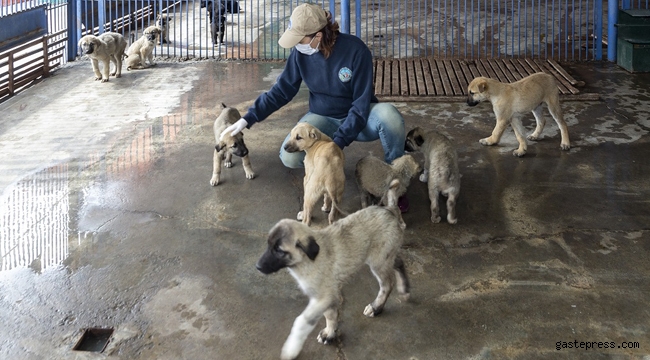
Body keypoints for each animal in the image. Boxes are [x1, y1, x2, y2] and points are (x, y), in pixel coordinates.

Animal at [256, 180, 408, 360]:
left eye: (279, 251)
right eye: (268, 245)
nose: (258, 266)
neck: (307, 261)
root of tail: (389, 210)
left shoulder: (324, 296)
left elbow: (301, 321)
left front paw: (291, 349)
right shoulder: (326, 297)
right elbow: (331, 316)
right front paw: (330, 333)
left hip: (378, 261)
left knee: (387, 284)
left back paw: (376, 307)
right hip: (386, 256)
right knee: (399, 263)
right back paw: (404, 289)